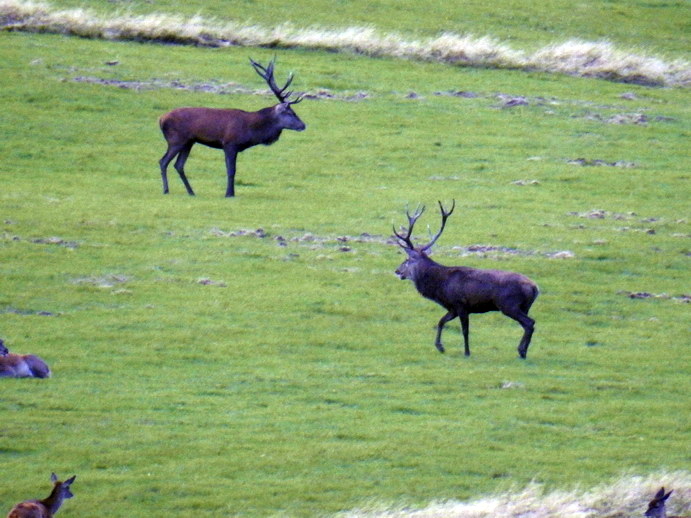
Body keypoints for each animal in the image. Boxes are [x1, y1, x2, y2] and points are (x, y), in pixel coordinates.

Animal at [161, 57, 306, 198]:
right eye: (291, 112)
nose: (303, 125)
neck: (251, 131)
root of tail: (161, 119)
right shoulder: (230, 144)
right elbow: (231, 170)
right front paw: (229, 194)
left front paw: (231, 192)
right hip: (176, 140)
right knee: (163, 161)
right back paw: (166, 190)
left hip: (189, 142)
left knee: (178, 165)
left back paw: (191, 192)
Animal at [394, 201, 540, 360]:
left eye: (407, 260)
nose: (397, 271)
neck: (441, 287)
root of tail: (535, 288)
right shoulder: (452, 308)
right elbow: (440, 321)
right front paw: (440, 347)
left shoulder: (461, 305)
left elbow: (465, 331)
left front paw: (467, 352)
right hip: (524, 306)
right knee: (528, 324)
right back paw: (522, 350)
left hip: (509, 305)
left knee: (529, 322)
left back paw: (522, 352)